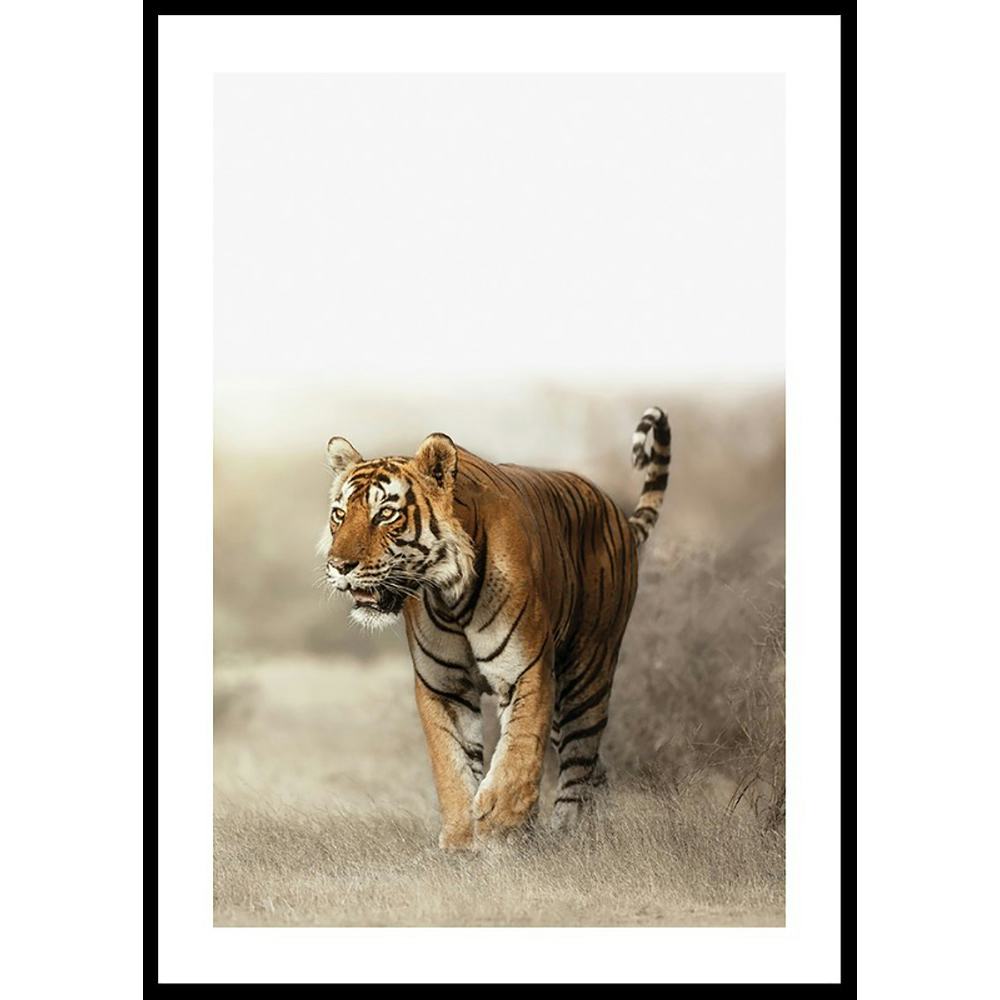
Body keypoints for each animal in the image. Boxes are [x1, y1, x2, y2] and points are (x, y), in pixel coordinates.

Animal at [319, 407, 671, 850]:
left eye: (386, 514)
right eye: (339, 514)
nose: (338, 566)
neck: (449, 595)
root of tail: (617, 515)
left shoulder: (526, 671)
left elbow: (518, 751)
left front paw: (499, 824)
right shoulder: (444, 686)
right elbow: (451, 764)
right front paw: (460, 840)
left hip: (587, 673)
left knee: (579, 761)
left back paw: (568, 833)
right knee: (594, 766)